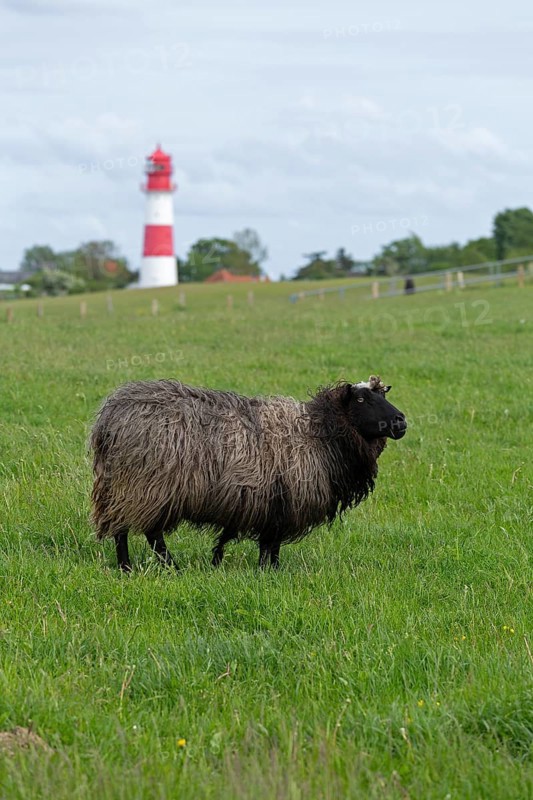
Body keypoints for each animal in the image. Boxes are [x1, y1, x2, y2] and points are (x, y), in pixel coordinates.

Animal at [90, 376, 407, 571]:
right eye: (362, 400)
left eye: (382, 394)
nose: (400, 421)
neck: (318, 433)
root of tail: (109, 417)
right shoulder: (283, 502)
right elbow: (272, 544)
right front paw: (271, 572)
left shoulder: (273, 503)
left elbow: (268, 543)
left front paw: (266, 569)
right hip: (144, 485)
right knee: (140, 532)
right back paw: (148, 568)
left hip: (129, 486)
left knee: (133, 529)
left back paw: (141, 567)